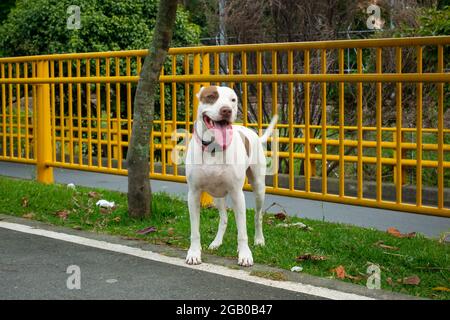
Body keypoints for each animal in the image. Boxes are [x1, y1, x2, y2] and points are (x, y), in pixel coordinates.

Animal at [184, 85, 276, 268]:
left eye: (233, 100)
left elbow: (242, 231)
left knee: (258, 216)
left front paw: (245, 255)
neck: (214, 147)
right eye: (211, 96)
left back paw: (259, 240)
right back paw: (216, 242)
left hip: (259, 188)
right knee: (224, 218)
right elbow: (195, 230)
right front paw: (194, 253)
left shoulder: (237, 194)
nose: (226, 110)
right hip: (217, 195)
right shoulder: (194, 193)